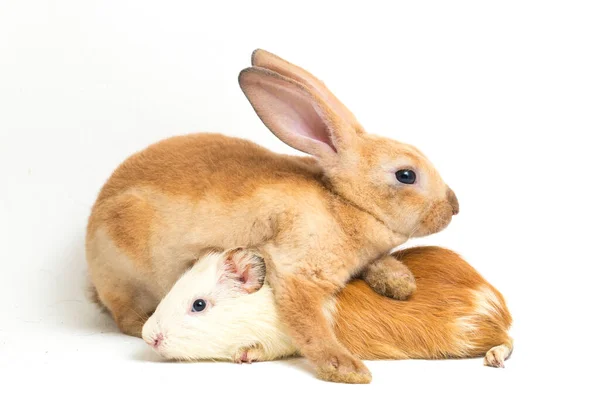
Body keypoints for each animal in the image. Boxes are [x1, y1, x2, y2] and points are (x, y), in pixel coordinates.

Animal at [84, 48, 460, 382]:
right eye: (406, 175)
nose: (454, 206)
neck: (345, 203)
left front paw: (400, 283)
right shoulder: (295, 273)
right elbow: (309, 325)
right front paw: (345, 368)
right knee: (126, 317)